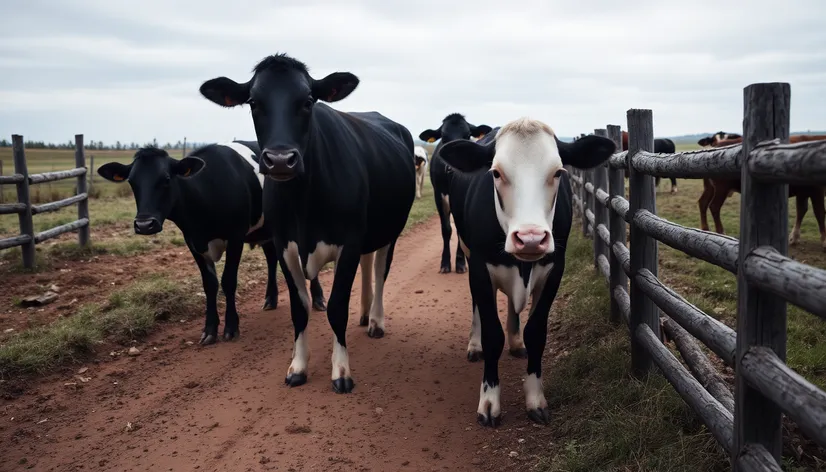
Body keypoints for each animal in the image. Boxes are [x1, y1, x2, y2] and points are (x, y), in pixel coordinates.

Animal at [96, 142, 326, 344]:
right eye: (132, 182)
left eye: (167, 178)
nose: (144, 224)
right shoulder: (192, 242)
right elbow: (210, 284)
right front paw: (209, 330)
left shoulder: (235, 237)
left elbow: (228, 281)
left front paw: (231, 327)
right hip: (266, 230)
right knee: (271, 258)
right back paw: (270, 299)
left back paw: (318, 299)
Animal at [197, 51, 416, 392]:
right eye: (254, 102)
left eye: (308, 101)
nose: (280, 160)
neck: (304, 205)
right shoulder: (285, 245)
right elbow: (299, 310)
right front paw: (297, 367)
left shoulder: (349, 242)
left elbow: (337, 307)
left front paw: (341, 371)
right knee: (369, 266)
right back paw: (365, 313)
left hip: (390, 230)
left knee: (380, 271)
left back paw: (376, 320)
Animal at [418, 113, 490, 272]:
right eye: (443, 136)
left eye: (467, 135)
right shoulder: (438, 195)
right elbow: (446, 229)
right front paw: (445, 263)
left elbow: (459, 229)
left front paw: (460, 262)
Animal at [440, 119, 616, 428]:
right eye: (496, 173)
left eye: (558, 172)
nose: (531, 239)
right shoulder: (479, 270)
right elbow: (492, 334)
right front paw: (489, 401)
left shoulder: (555, 270)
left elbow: (536, 333)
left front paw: (535, 398)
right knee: (475, 305)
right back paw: (475, 345)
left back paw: (515, 340)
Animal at [696, 133, 824, 251]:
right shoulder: (816, 189)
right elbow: (819, 212)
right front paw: (824, 241)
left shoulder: (804, 192)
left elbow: (802, 210)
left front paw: (794, 237)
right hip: (721, 188)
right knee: (714, 206)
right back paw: (720, 232)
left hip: (710, 187)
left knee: (703, 202)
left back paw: (705, 228)